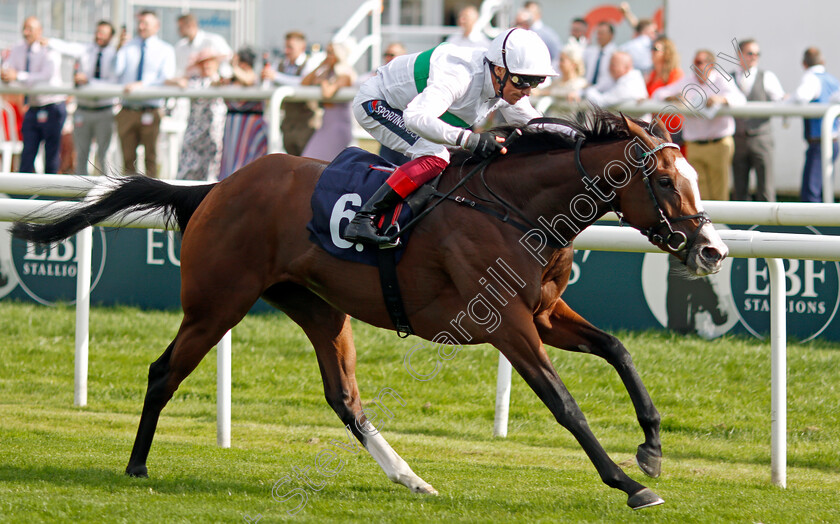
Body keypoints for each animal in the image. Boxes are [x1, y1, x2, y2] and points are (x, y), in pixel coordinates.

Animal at [9, 112, 724, 510]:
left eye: (692, 179)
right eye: (665, 181)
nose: (711, 248)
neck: (516, 210)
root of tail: (214, 186)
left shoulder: (545, 314)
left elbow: (619, 350)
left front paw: (652, 448)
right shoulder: (507, 324)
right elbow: (565, 404)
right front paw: (630, 484)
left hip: (321, 310)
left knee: (344, 397)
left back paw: (411, 478)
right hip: (217, 303)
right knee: (164, 373)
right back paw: (135, 466)